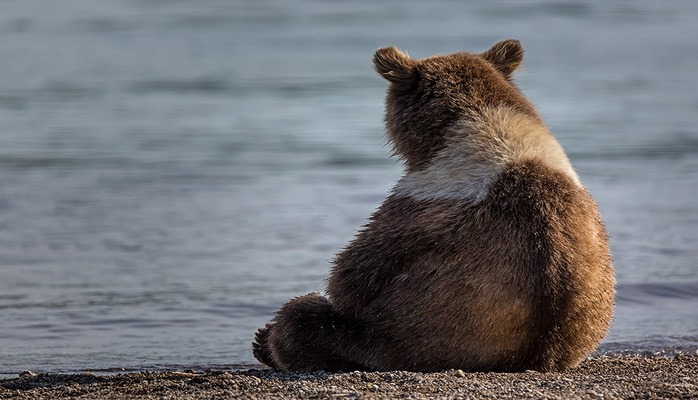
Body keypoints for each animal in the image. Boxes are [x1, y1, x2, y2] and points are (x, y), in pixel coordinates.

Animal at [253, 39, 612, 374]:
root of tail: (535, 359)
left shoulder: (417, 206)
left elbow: (351, 276)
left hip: (394, 341)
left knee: (304, 321)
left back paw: (267, 341)